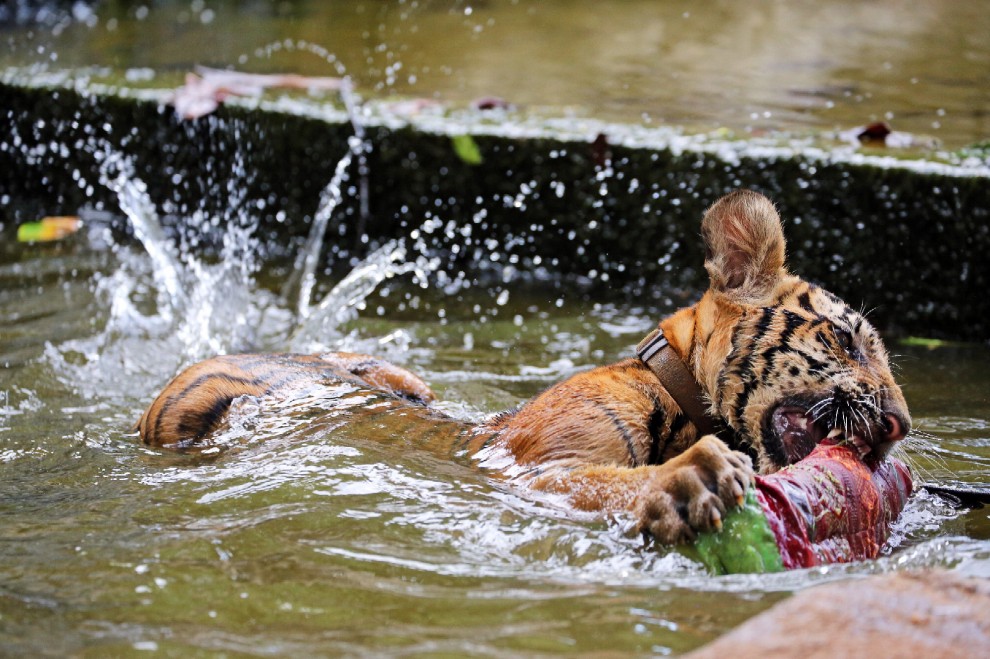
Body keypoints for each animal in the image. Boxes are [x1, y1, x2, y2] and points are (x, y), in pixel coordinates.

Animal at [136, 189, 911, 545]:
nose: (902, 424)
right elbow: (606, 480)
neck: (683, 397)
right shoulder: (536, 468)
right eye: (848, 341)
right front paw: (688, 481)